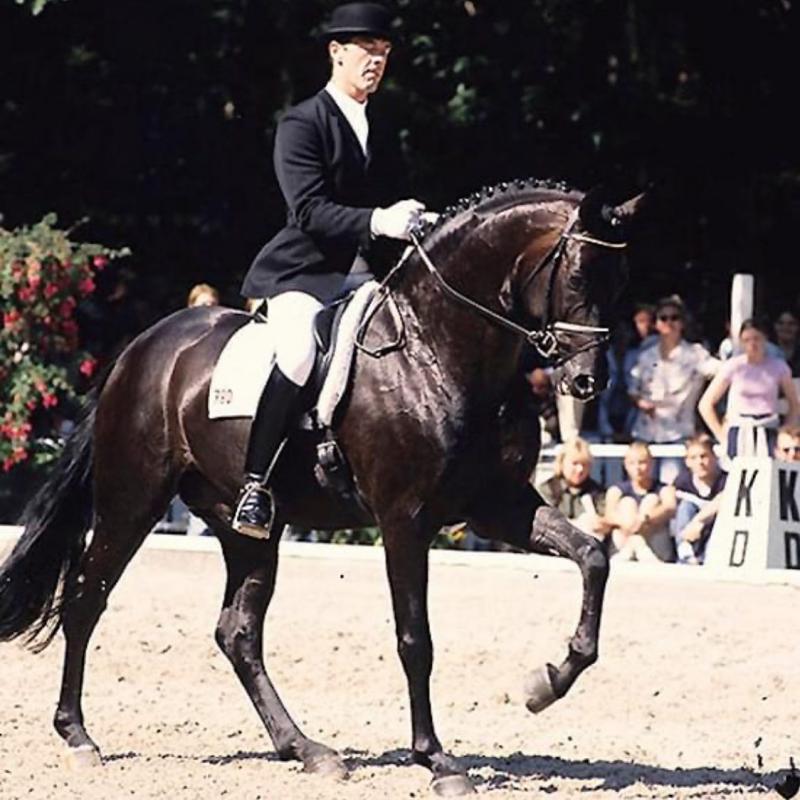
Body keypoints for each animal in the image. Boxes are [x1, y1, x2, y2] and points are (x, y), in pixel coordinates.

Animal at [0, 179, 641, 796]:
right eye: (578, 275)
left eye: (620, 282)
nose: (588, 382)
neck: (438, 348)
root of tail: (139, 349)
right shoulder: (405, 519)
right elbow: (415, 639)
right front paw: (437, 760)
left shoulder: (497, 505)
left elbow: (593, 556)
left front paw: (546, 683)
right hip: (132, 501)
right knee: (87, 599)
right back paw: (79, 737)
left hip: (247, 527)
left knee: (237, 632)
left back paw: (306, 749)